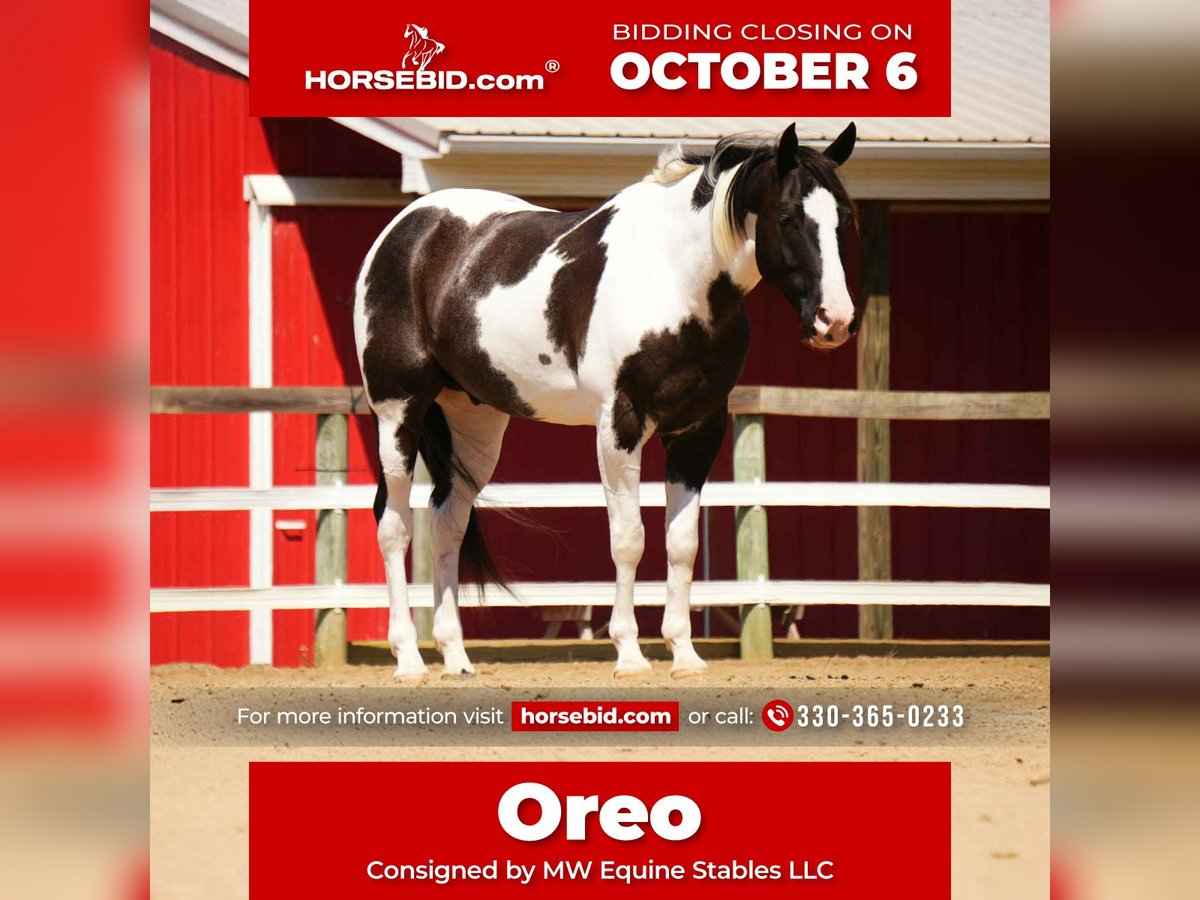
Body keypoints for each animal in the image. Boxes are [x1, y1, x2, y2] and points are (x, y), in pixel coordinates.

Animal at [353, 122, 860, 680]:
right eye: (789, 218)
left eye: (844, 217)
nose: (835, 321)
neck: (672, 278)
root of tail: (404, 228)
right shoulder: (620, 424)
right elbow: (629, 538)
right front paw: (630, 654)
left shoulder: (699, 429)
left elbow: (681, 543)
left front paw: (684, 654)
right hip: (398, 410)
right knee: (393, 525)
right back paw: (408, 658)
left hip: (473, 423)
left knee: (447, 523)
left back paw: (456, 657)